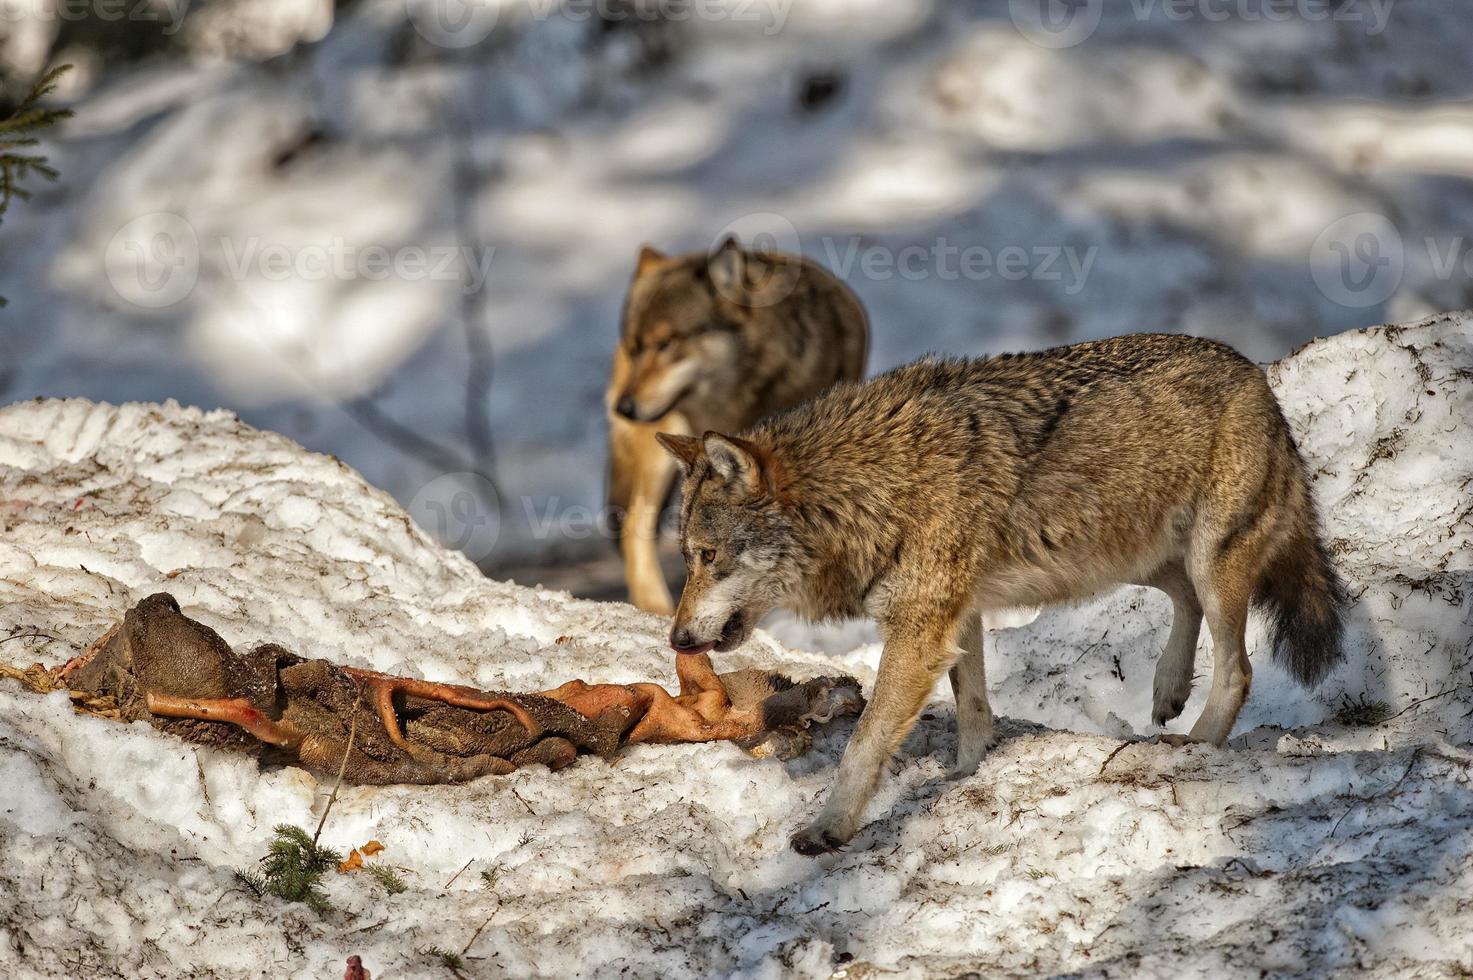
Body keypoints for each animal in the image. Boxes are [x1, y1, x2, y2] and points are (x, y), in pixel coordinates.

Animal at [656, 333, 1349, 854]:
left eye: (707, 556)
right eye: (687, 558)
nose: (677, 639)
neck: (863, 493)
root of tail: (1255, 374)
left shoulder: (920, 631)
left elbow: (864, 743)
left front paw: (828, 829)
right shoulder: (955, 619)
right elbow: (974, 712)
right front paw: (966, 777)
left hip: (1205, 559)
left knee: (1237, 668)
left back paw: (1197, 744)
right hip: (1127, 557)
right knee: (1186, 602)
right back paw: (1169, 687)